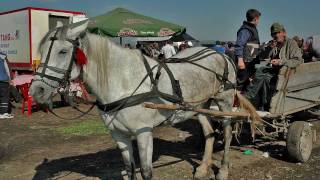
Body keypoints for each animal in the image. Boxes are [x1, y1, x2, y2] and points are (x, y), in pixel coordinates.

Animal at [28, 21, 248, 180]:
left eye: (63, 51)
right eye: (42, 50)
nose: (36, 91)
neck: (125, 82)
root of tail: (219, 54)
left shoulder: (144, 133)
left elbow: (146, 172)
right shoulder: (119, 135)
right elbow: (129, 169)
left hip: (224, 102)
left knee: (227, 133)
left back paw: (223, 170)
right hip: (199, 107)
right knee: (209, 133)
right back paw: (203, 169)